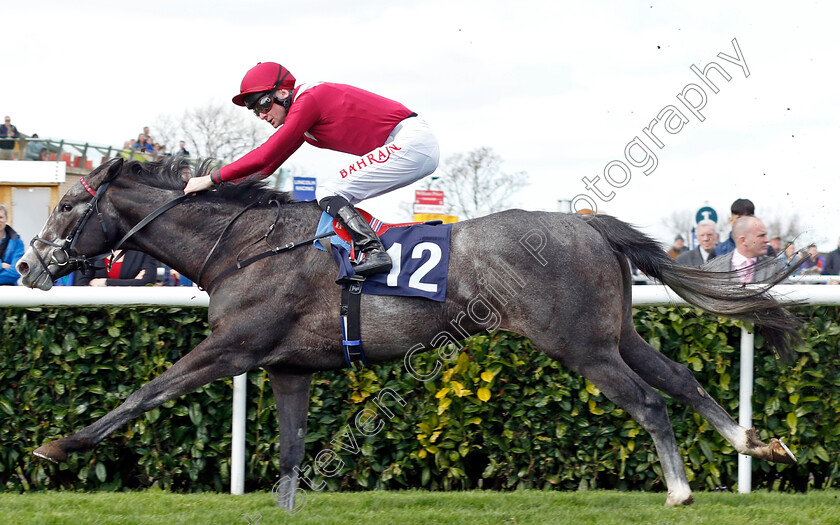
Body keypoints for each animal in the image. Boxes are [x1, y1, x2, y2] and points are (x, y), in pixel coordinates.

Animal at [16, 158, 796, 506]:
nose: (26, 262)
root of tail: (588, 224)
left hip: (580, 345)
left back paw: (680, 491)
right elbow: (292, 449)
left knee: (649, 401)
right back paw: (755, 441)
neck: (243, 245)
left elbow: (144, 393)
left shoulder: (232, 347)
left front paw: (58, 445)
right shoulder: (287, 366)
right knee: (680, 379)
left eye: (70, 206)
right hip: (616, 333)